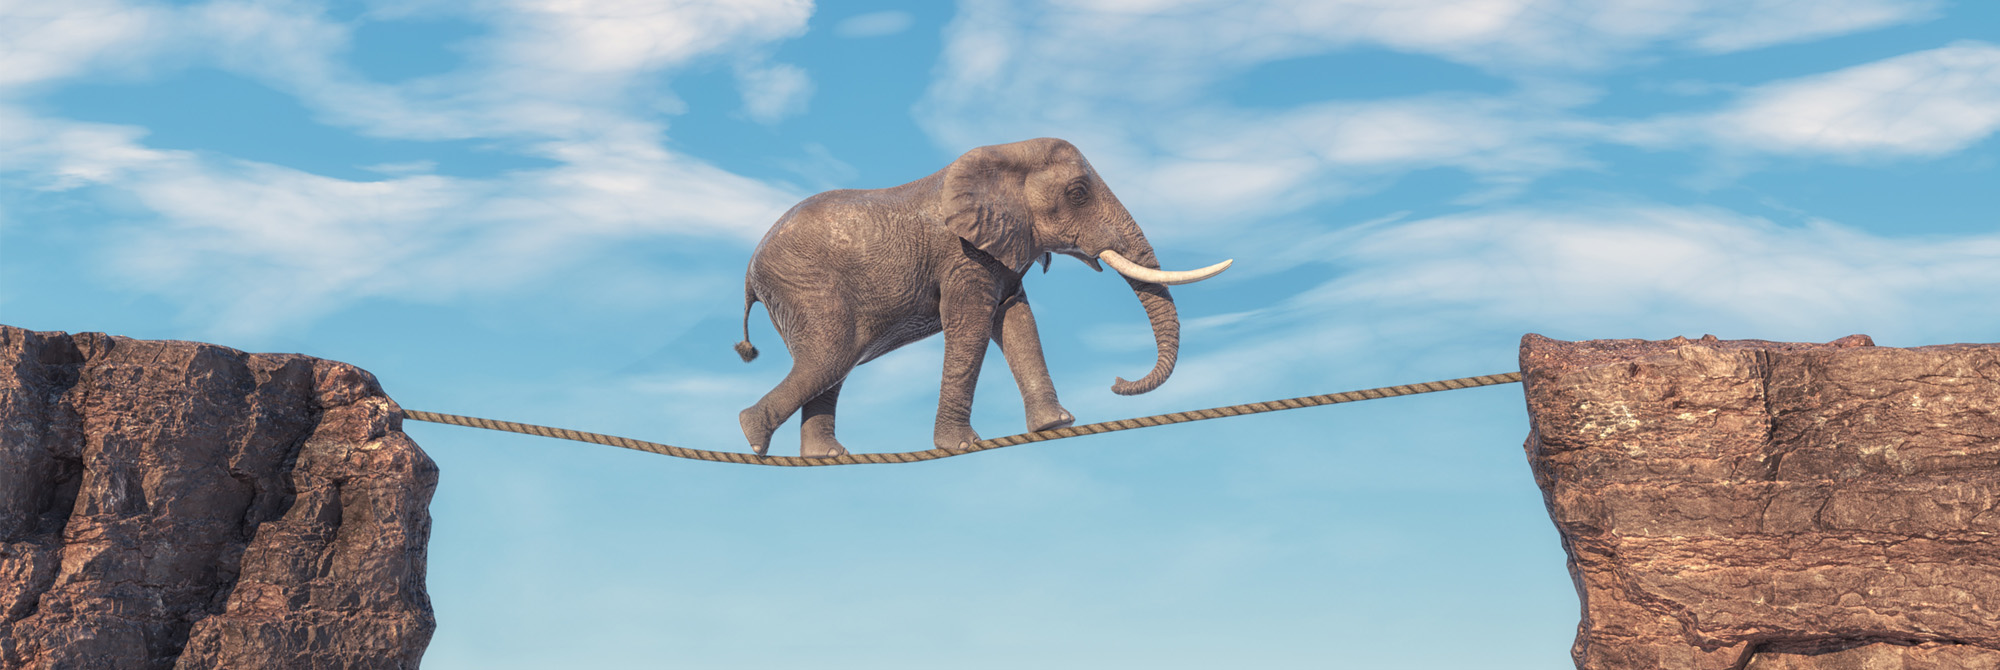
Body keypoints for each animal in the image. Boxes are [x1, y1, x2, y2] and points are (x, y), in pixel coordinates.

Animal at [740, 139, 1232, 460]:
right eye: (1077, 193)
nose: (1116, 382)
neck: (1009, 153)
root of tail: (749, 273)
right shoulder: (963, 255)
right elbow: (972, 326)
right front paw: (962, 445)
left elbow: (1016, 321)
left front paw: (1056, 424)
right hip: (805, 288)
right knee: (831, 357)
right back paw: (754, 436)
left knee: (832, 367)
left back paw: (825, 455)